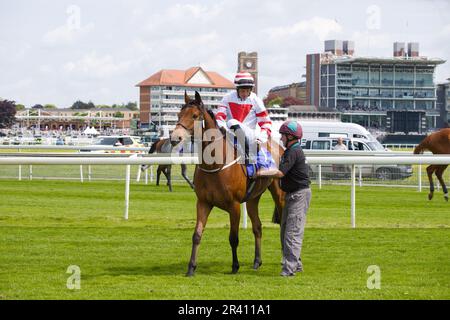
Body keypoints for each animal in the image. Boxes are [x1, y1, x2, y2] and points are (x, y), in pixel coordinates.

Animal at [172, 91, 284, 276]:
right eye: (179, 115)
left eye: (195, 115)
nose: (175, 138)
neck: (215, 165)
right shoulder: (203, 202)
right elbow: (197, 235)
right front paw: (191, 267)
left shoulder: (234, 205)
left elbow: (233, 237)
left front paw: (235, 266)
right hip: (253, 198)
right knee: (257, 226)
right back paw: (257, 261)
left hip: (279, 193)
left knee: (284, 223)